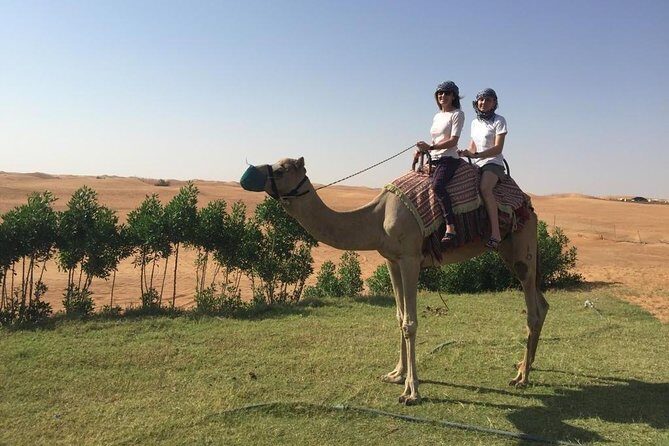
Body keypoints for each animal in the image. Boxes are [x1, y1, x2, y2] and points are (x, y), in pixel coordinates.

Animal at [240, 157, 549, 405]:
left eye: (281, 170)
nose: (247, 174)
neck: (377, 218)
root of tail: (528, 204)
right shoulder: (391, 260)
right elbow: (399, 316)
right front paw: (396, 374)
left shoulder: (410, 258)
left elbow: (410, 322)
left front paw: (412, 392)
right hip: (510, 251)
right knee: (542, 303)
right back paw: (524, 366)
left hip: (521, 245)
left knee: (533, 310)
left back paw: (521, 377)